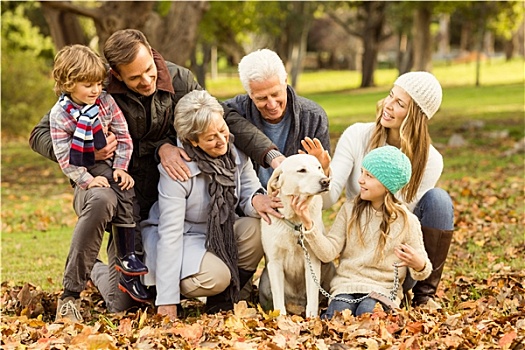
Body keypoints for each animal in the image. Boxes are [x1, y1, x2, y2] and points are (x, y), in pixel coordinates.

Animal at [260, 153, 330, 318]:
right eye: (302, 170)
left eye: (319, 167)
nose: (325, 181)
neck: (295, 221)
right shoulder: (274, 263)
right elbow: (278, 299)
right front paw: (281, 319)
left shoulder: (312, 261)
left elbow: (312, 296)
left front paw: (312, 319)